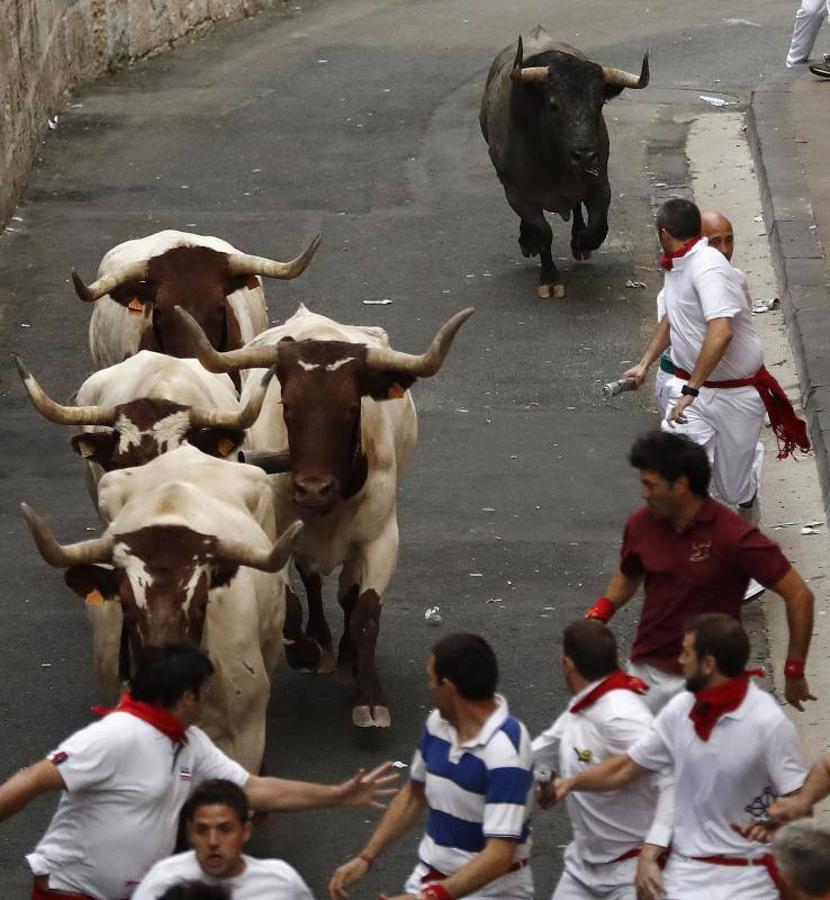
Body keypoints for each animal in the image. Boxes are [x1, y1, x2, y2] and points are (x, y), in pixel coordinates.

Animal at [480, 25, 648, 296]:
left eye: (599, 103)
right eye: (553, 105)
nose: (585, 155)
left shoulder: (600, 183)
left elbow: (598, 227)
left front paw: (582, 241)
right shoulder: (515, 193)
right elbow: (543, 232)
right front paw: (549, 277)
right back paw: (527, 241)